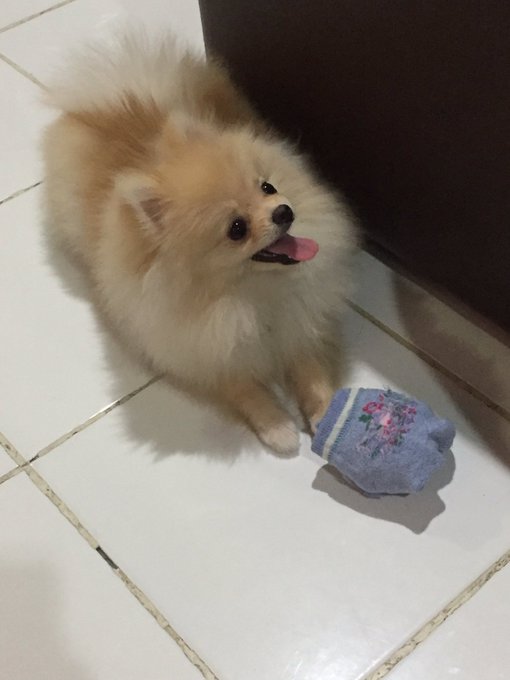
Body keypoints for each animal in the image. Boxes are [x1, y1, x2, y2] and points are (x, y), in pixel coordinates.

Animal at [42, 32, 356, 455]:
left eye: (267, 187)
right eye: (236, 229)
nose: (283, 211)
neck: (251, 295)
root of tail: (119, 96)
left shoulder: (302, 321)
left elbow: (312, 371)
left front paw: (327, 415)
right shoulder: (199, 352)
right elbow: (243, 388)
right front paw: (278, 427)